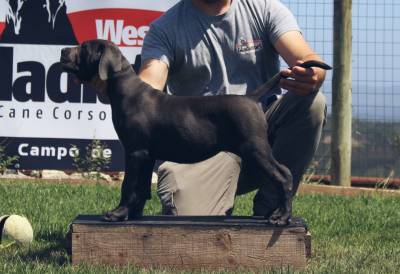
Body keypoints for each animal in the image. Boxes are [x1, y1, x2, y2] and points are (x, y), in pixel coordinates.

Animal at [61, 39, 332, 226]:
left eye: (84, 47)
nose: (63, 51)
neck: (125, 90)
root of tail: (251, 98)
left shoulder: (135, 152)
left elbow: (128, 185)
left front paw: (117, 214)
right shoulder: (146, 155)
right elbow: (141, 188)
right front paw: (133, 214)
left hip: (255, 148)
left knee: (283, 175)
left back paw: (281, 217)